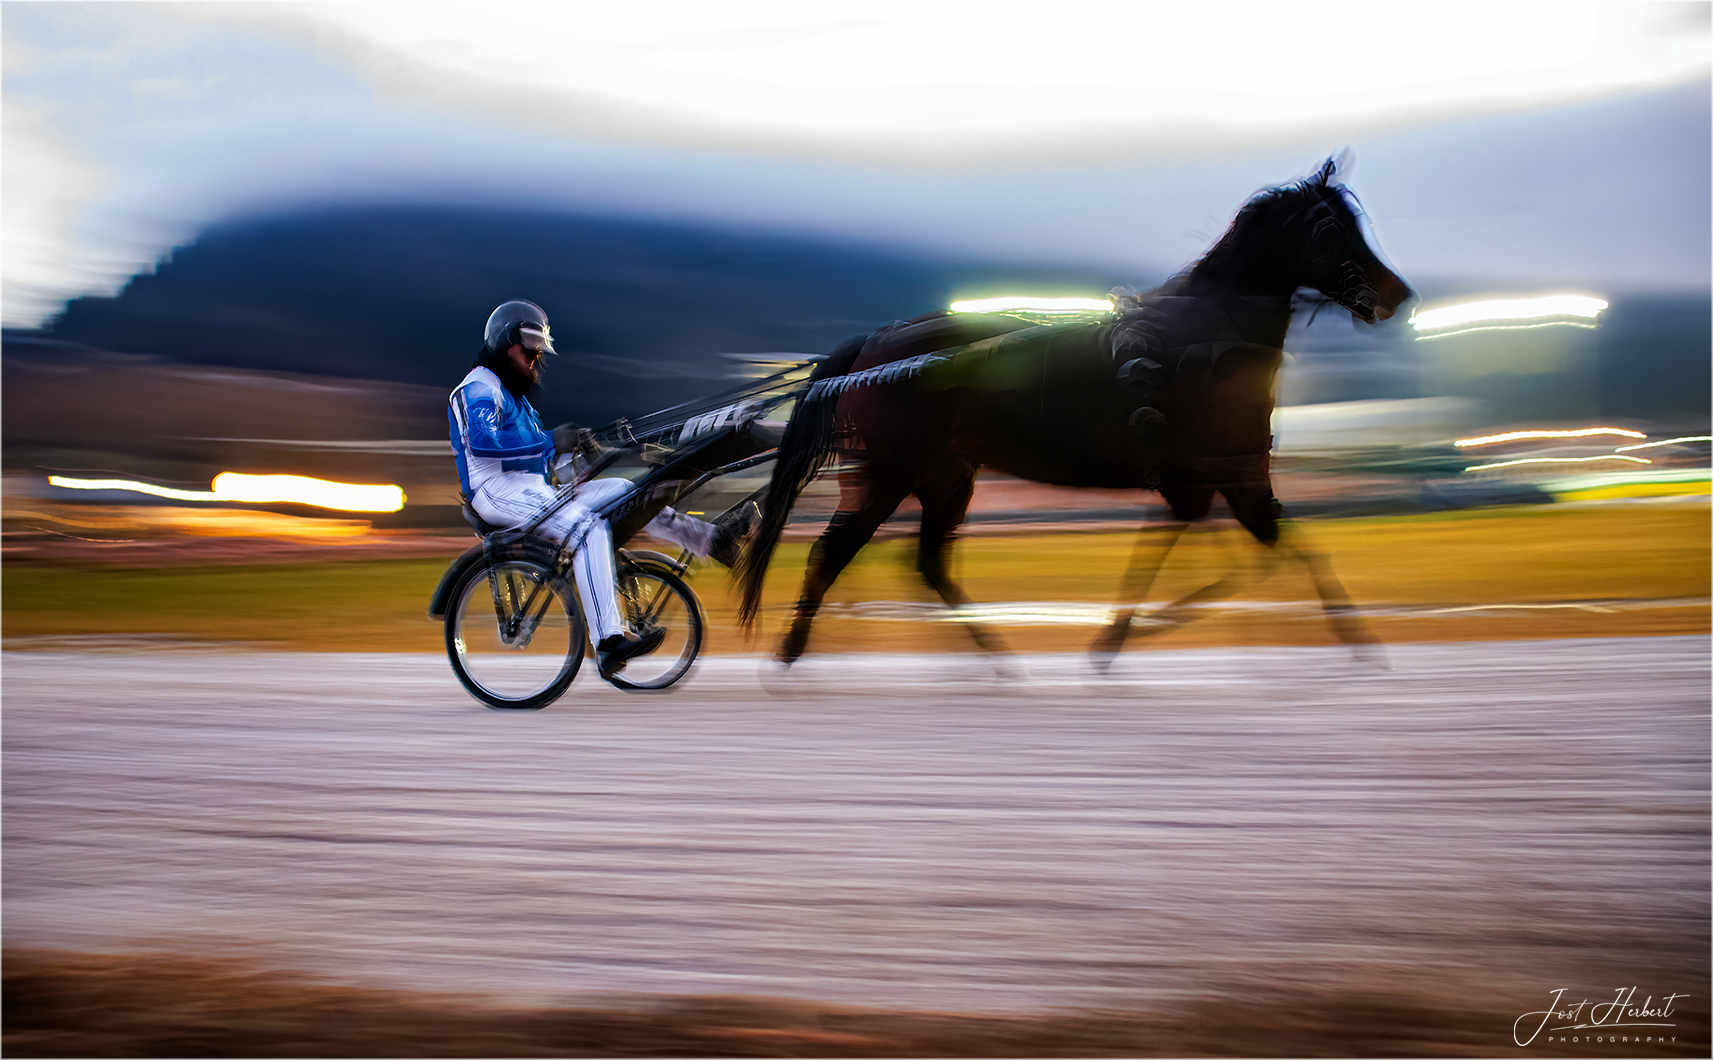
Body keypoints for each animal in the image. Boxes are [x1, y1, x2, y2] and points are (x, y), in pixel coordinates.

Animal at [736, 160, 1404, 667]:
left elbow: (1235, 554)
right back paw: (791, 655)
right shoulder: (1235, 473)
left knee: (926, 561)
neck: (1207, 337)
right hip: (891, 471)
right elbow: (1284, 551)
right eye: (1329, 225)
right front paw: (1358, 644)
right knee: (833, 552)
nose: (1397, 294)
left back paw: (997, 660)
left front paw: (1123, 635)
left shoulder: (1211, 478)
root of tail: (873, 345)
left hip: (946, 475)